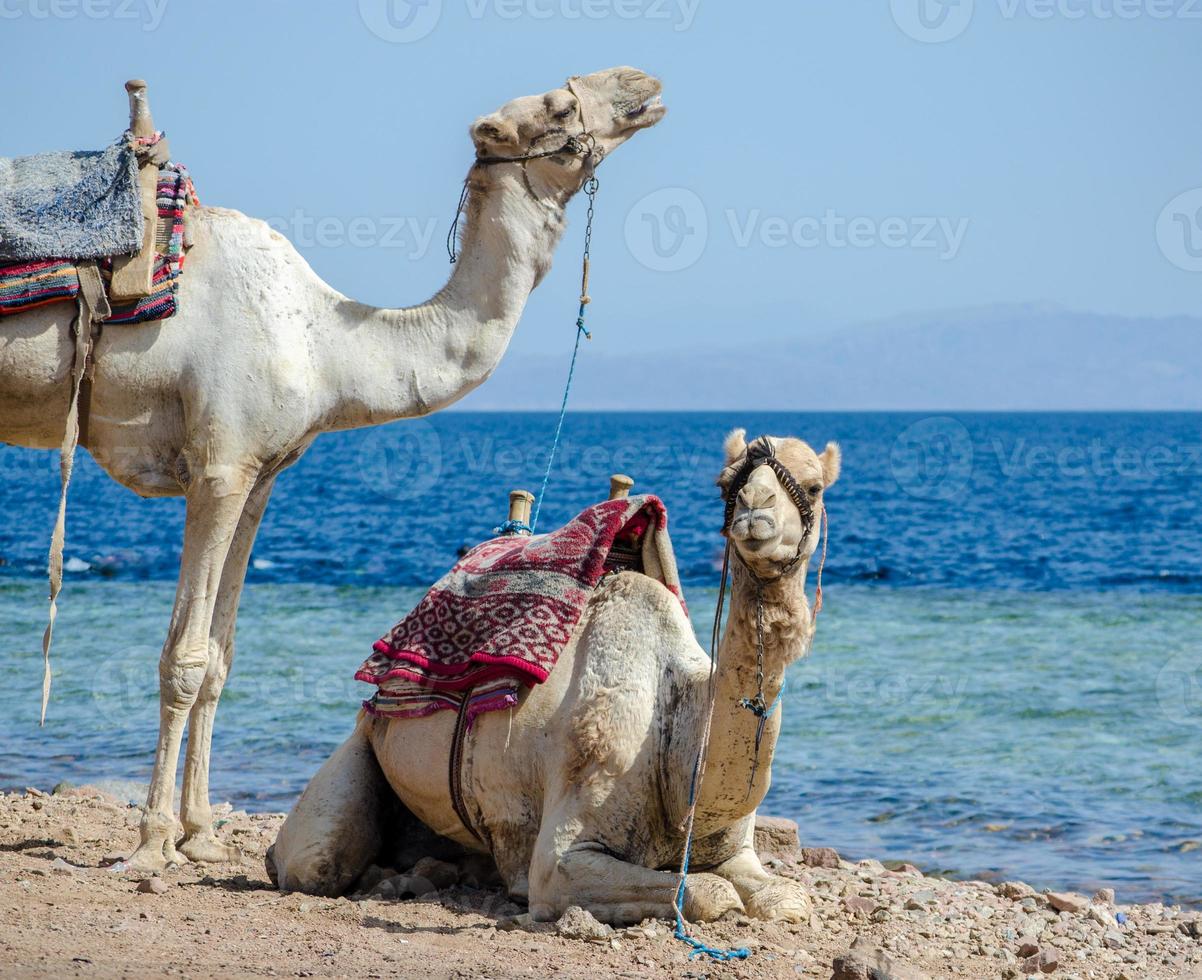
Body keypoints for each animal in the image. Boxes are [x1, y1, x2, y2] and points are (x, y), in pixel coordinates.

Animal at [0, 67, 668, 875]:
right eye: (561, 109)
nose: (641, 83)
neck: (327, 345)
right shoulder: (219, 465)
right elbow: (183, 657)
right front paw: (155, 839)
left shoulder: (261, 474)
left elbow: (220, 657)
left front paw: (201, 832)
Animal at [268, 428, 841, 928]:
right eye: (726, 483)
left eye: (814, 486)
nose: (754, 509)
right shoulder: (564, 855)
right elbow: (709, 893)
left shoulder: (735, 850)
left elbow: (784, 898)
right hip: (362, 746)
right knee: (314, 860)